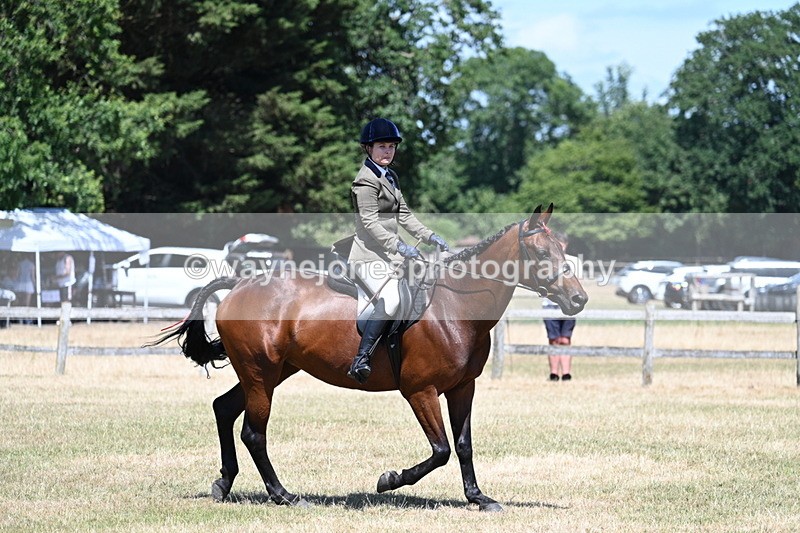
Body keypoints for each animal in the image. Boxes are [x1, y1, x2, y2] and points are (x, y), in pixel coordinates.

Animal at [153, 204, 587, 512]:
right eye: (540, 252)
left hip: (270, 372)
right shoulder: (420, 391)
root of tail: (240, 283)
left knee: (224, 409)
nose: (578, 299)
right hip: (261, 375)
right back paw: (284, 495)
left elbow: (463, 446)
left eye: (564, 250)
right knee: (253, 433)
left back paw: (223, 484)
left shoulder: (463, 388)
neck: (455, 307)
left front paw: (478, 497)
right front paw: (389, 480)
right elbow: (441, 450)